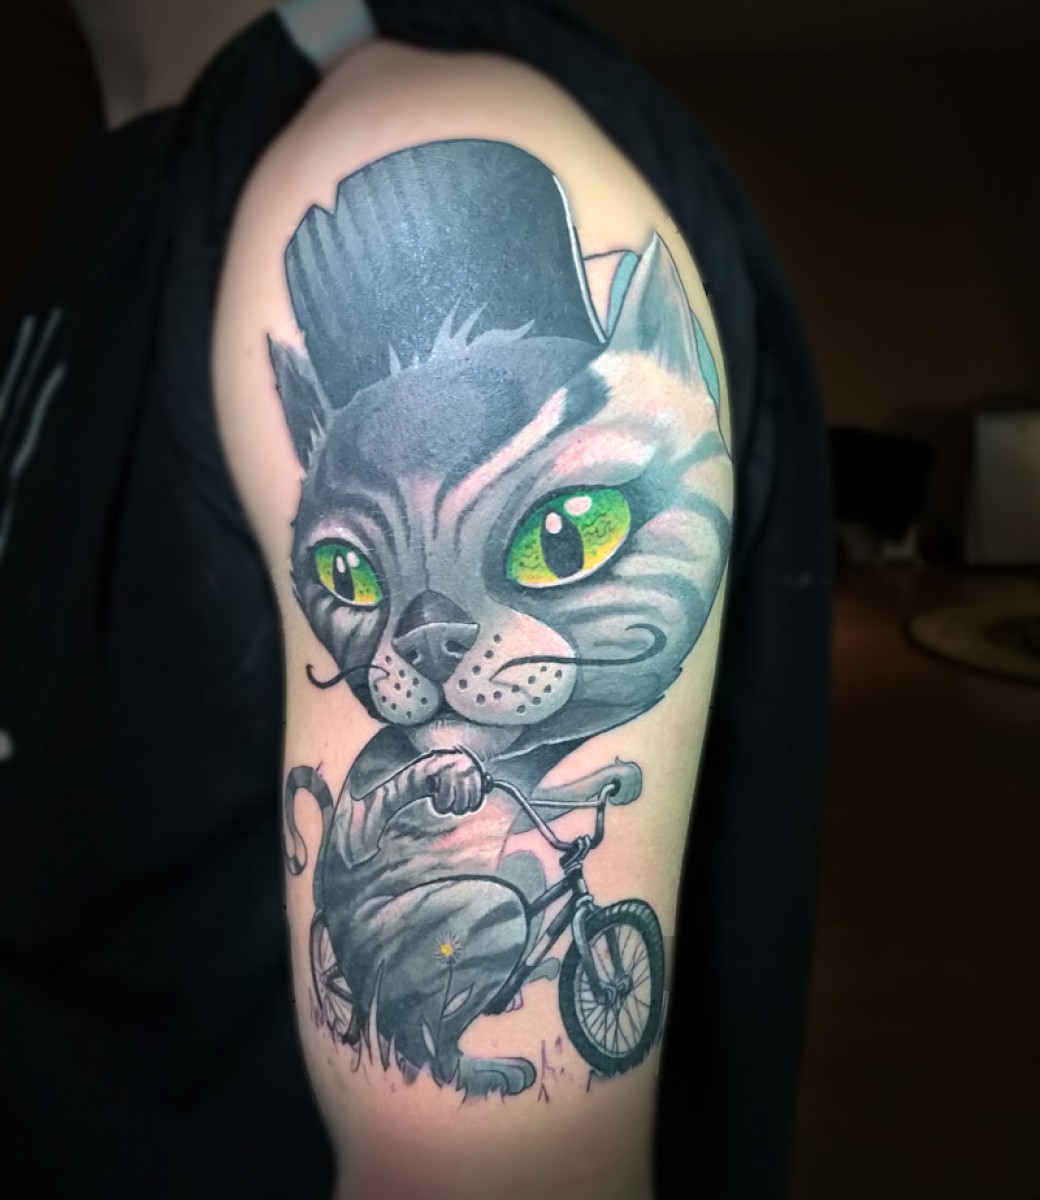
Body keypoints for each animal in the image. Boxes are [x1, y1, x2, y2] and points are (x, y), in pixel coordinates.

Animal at [272, 140, 732, 1096]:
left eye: (566, 537)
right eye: (345, 576)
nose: (428, 637)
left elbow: (592, 895)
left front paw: (611, 788)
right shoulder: (389, 789)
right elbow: (376, 815)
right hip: (470, 920)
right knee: (413, 1030)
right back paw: (479, 1063)